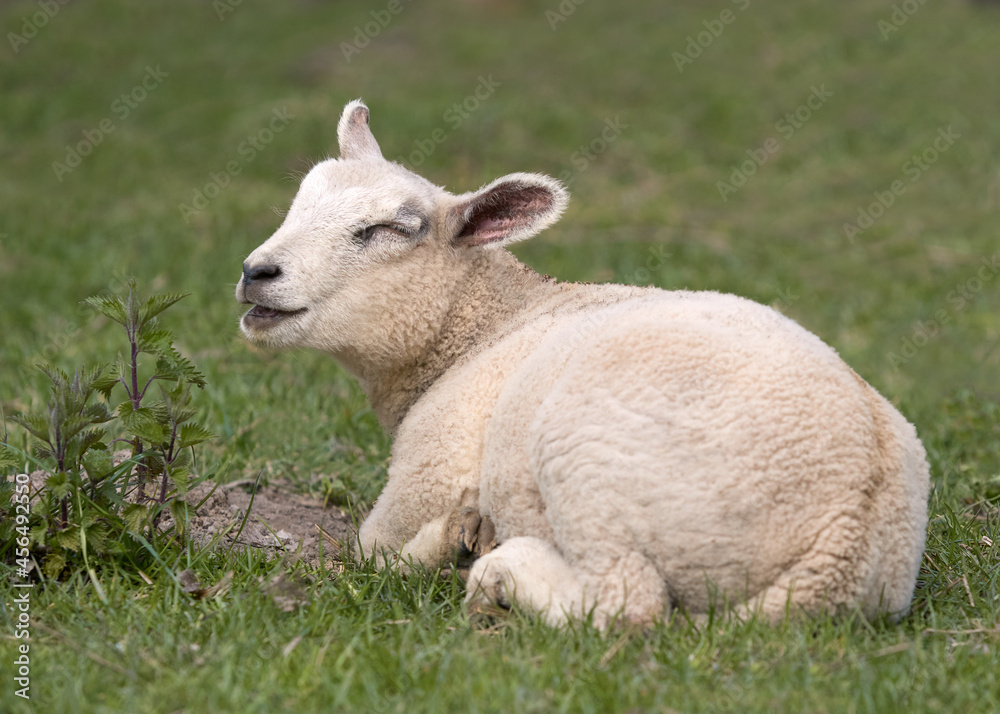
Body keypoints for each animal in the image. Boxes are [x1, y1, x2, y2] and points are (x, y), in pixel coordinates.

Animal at [234, 98, 928, 624]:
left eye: (388, 230)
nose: (254, 272)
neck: (483, 326)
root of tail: (844, 542)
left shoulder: (430, 468)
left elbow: (367, 551)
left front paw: (448, 543)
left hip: (590, 463)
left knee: (626, 603)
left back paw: (487, 566)